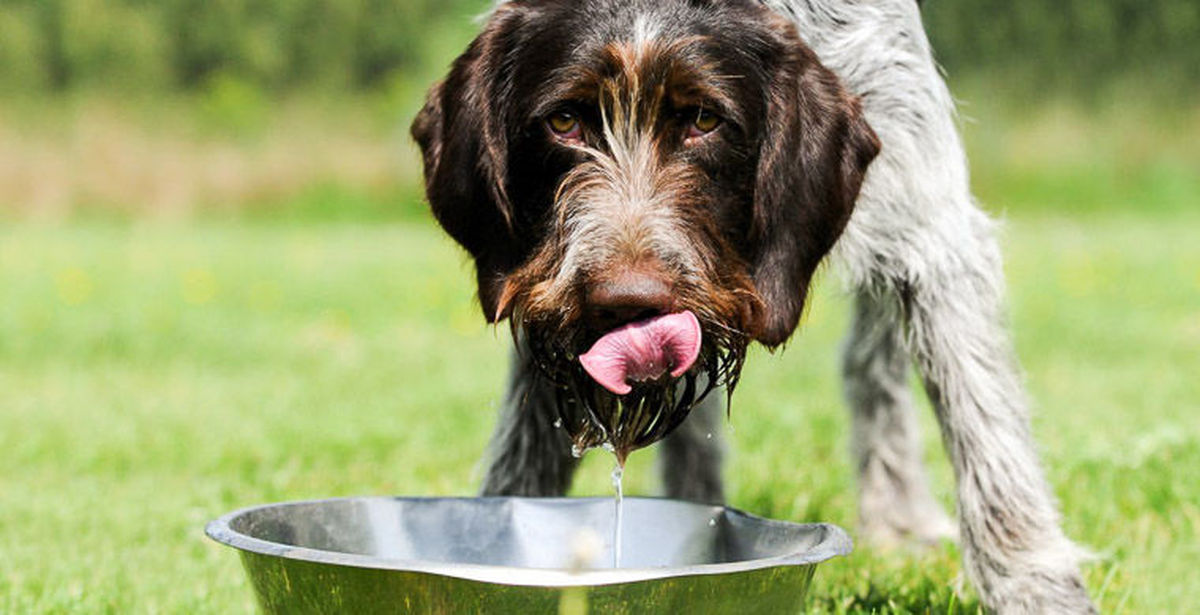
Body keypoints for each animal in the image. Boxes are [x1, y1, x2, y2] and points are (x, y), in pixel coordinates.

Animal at [410, 0, 1099, 610]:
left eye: (704, 121)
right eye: (563, 123)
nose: (626, 304)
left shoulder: (929, 224)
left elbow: (987, 437)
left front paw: (1037, 590)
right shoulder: (548, 298)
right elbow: (527, 450)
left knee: (870, 365)